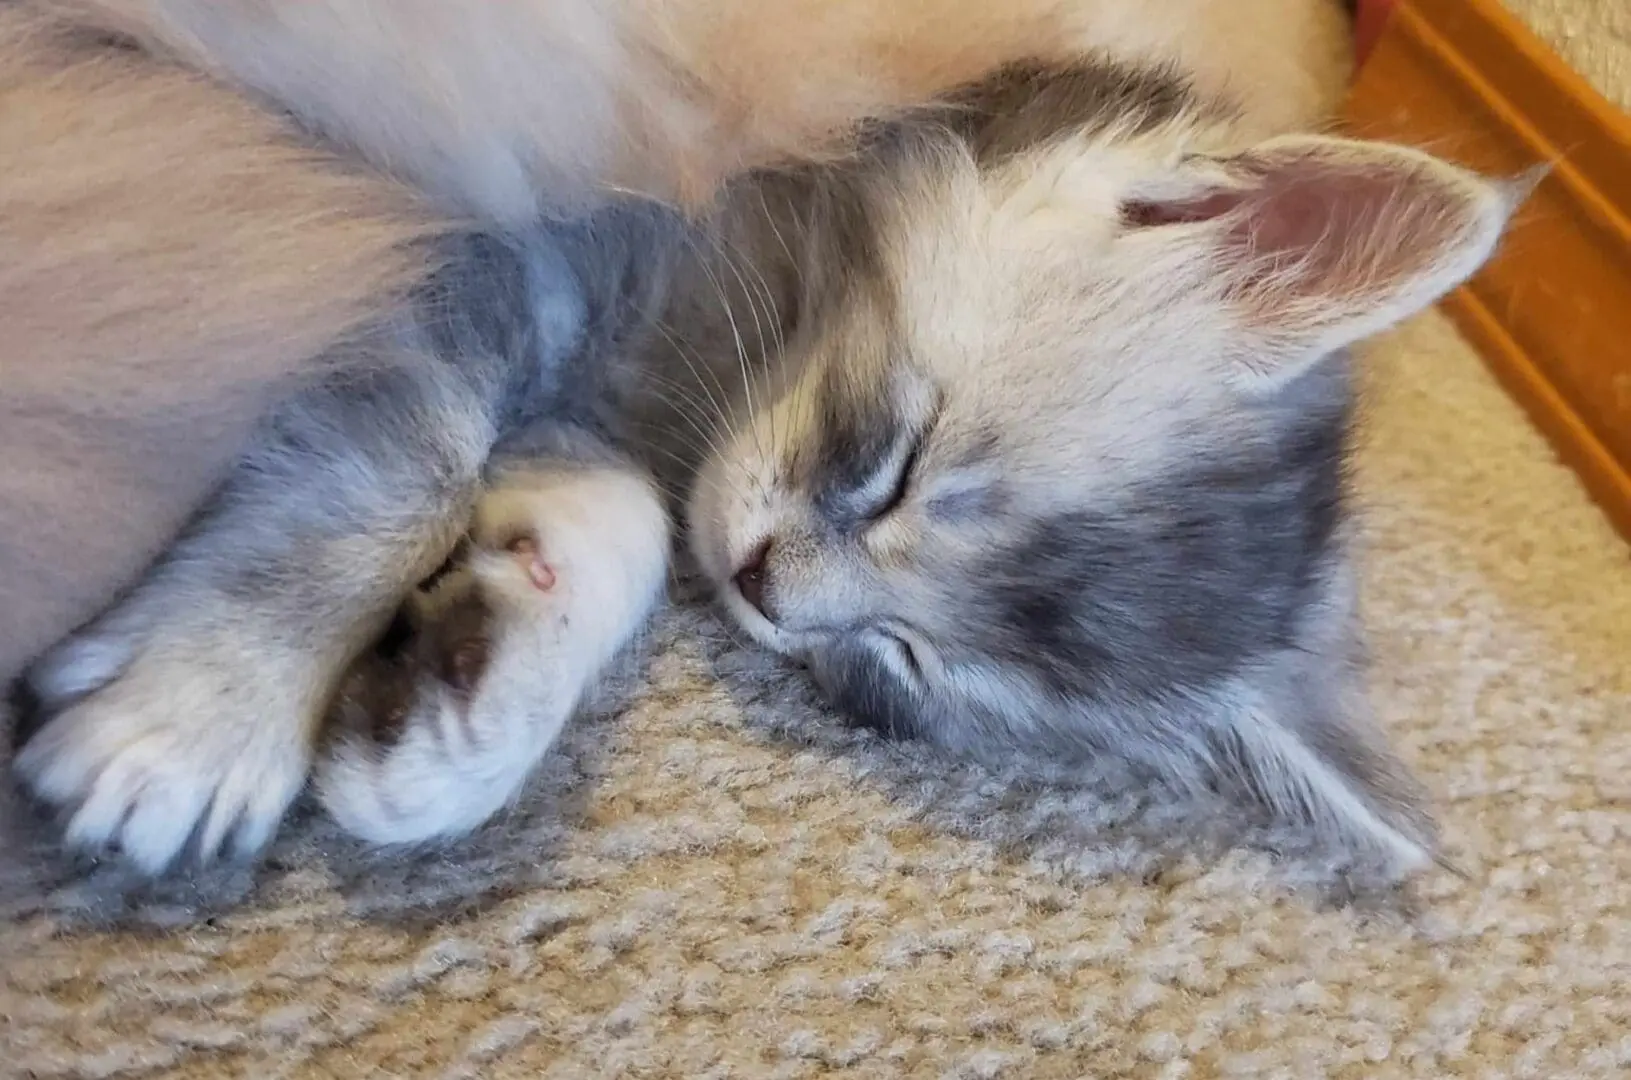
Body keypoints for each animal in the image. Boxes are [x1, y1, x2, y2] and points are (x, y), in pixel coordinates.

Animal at [12, 59, 1513, 887]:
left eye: (900, 667)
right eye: (895, 463)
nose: (760, 593)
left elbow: (614, 516)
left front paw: (458, 710)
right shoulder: (449, 235)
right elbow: (408, 462)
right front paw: (210, 713)